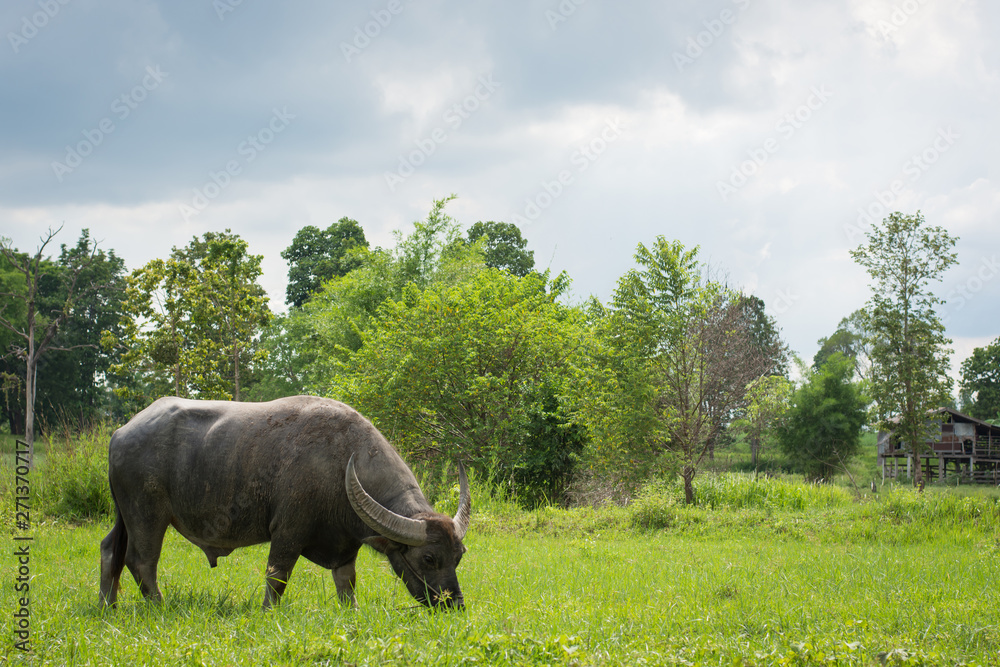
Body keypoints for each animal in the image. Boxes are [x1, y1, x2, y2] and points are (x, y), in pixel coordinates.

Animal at [99, 396, 471, 609]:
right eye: (428, 558)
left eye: (459, 556)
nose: (454, 604)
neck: (340, 463)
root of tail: (120, 433)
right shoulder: (288, 532)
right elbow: (277, 576)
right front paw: (268, 612)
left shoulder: (345, 548)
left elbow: (347, 584)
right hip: (147, 515)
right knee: (141, 561)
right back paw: (159, 606)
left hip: (123, 516)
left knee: (110, 550)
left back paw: (107, 607)